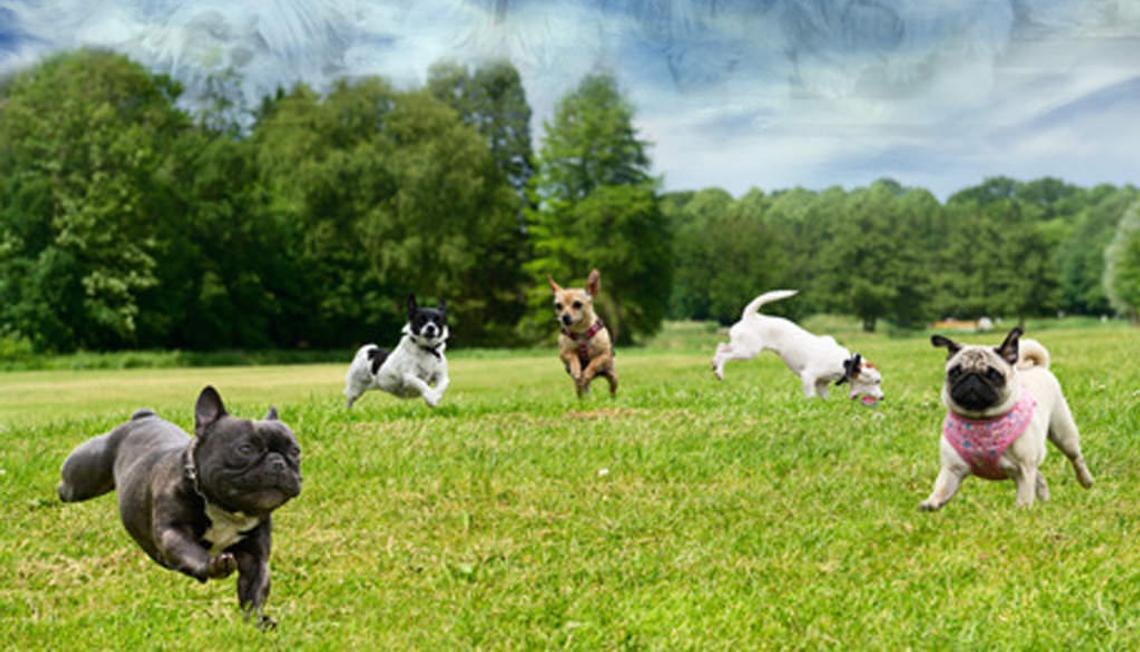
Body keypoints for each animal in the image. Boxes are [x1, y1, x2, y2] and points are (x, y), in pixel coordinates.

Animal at [711, 289, 880, 403]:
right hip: (748, 351)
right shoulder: (808, 377)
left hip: (741, 346)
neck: (845, 363)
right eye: (877, 381)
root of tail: (751, 315)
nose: (883, 397)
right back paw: (719, 372)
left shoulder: (821, 385)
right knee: (725, 355)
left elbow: (825, 398)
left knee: (721, 347)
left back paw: (715, 364)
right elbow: (810, 396)